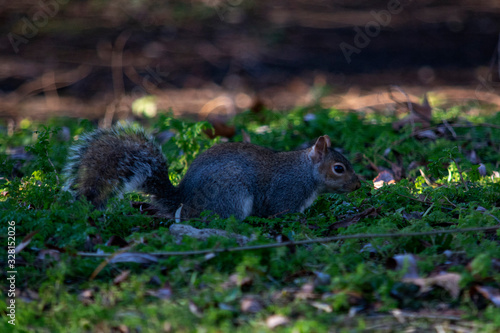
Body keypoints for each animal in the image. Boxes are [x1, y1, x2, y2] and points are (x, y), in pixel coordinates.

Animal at [63, 123, 360, 219]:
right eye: (338, 168)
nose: (358, 185)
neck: (306, 172)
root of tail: (182, 199)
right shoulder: (286, 193)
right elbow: (281, 212)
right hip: (231, 194)